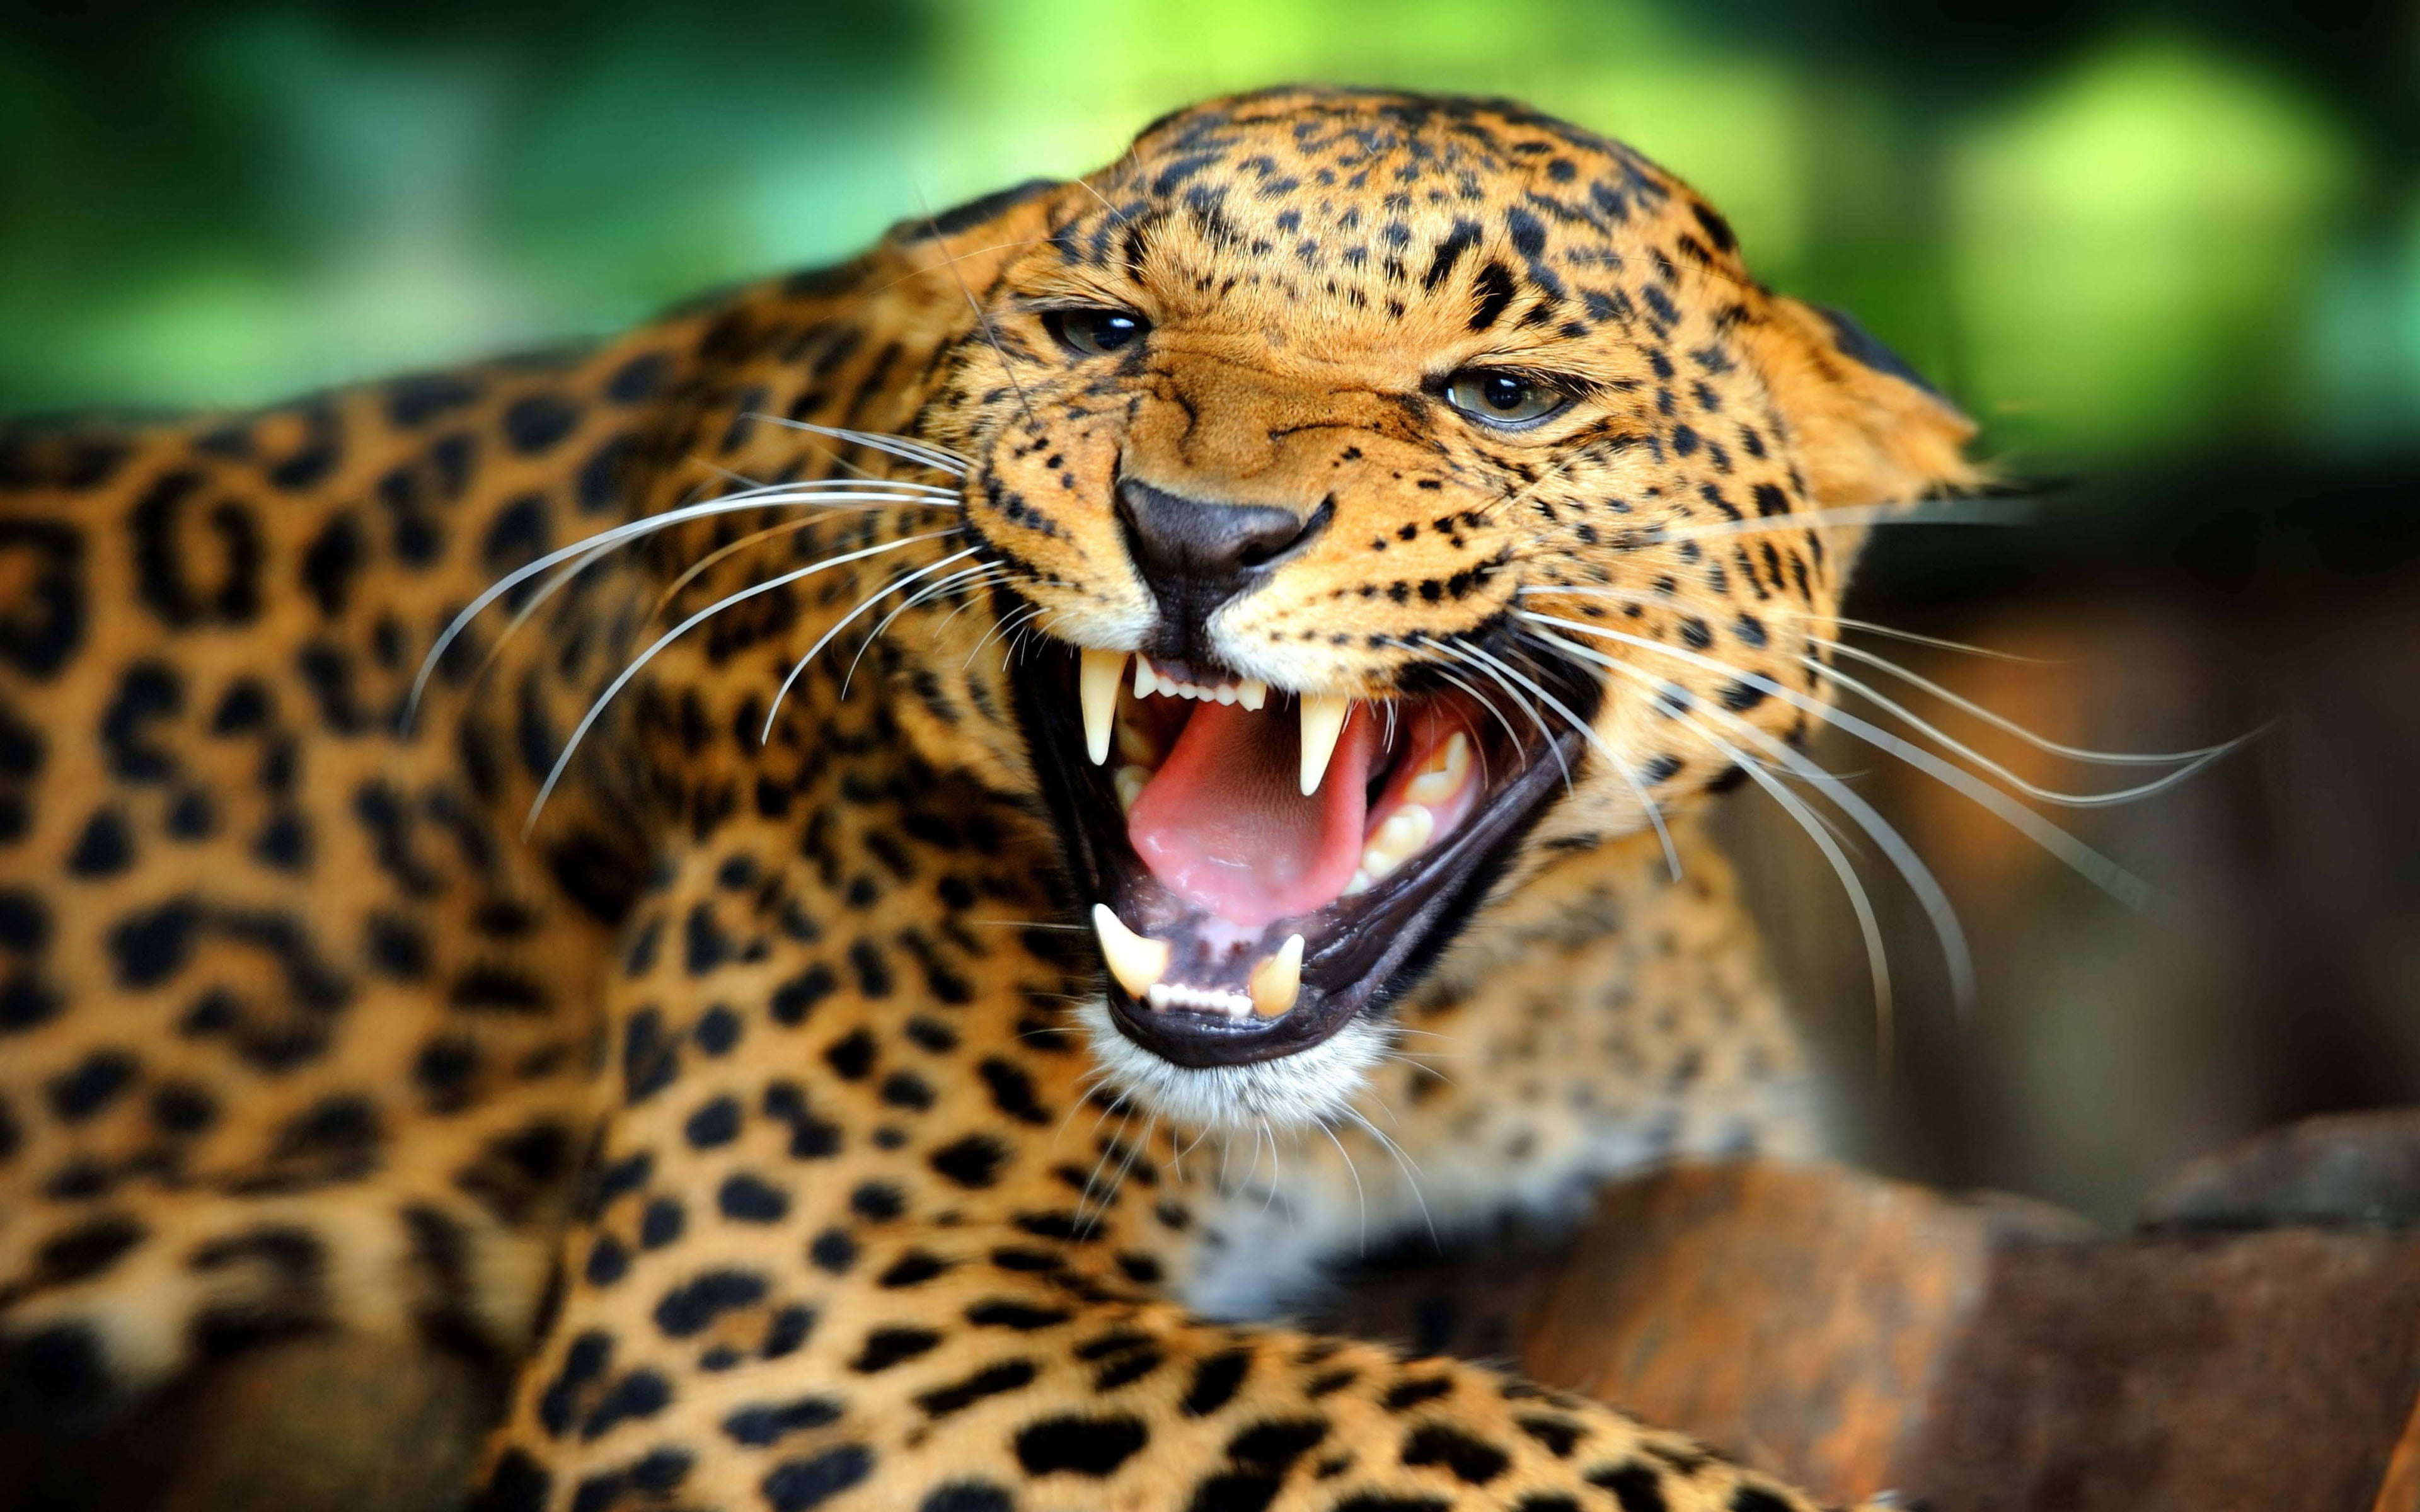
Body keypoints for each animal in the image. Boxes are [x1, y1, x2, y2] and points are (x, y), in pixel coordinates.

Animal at [0, 87, 1980, 1512]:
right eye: (1098, 329)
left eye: (1503, 392)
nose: (1197, 533)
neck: (1468, 1039)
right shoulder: (782, 1322)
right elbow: (1472, 1436)